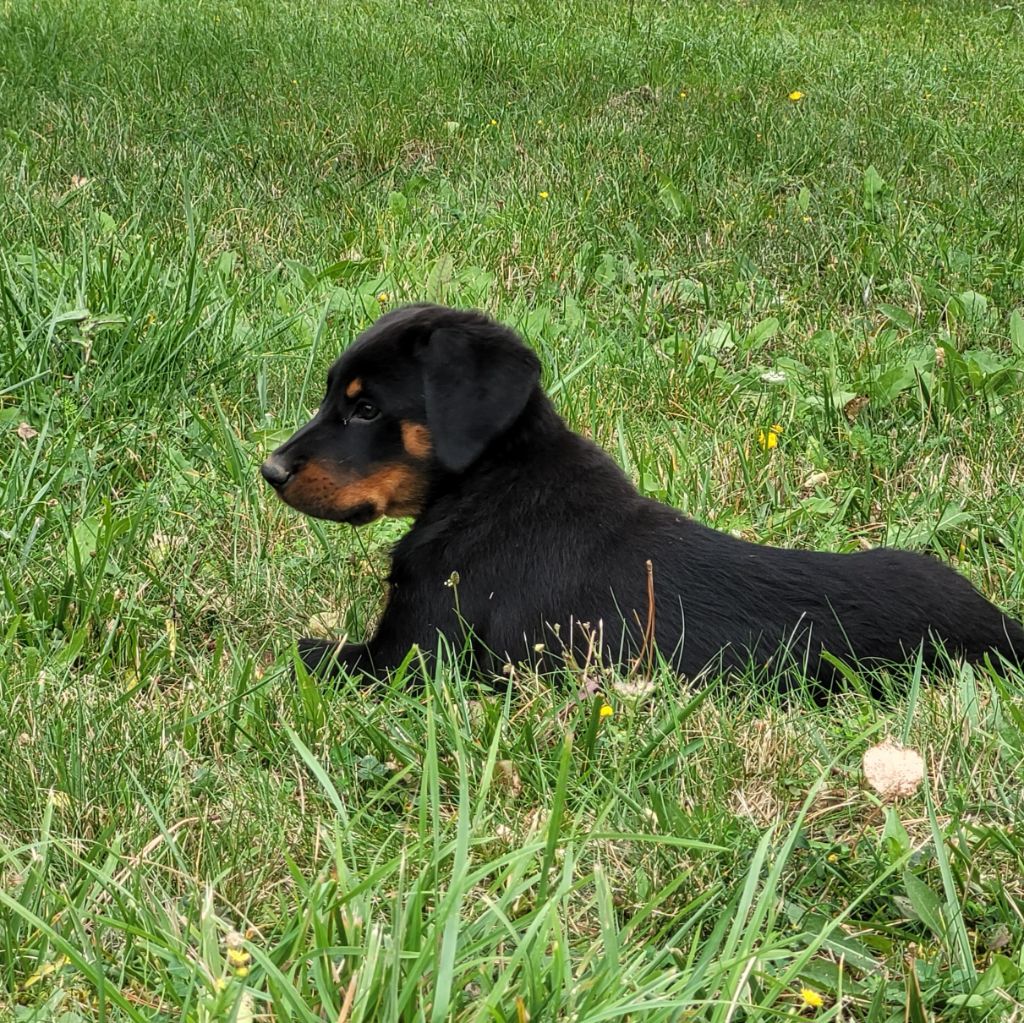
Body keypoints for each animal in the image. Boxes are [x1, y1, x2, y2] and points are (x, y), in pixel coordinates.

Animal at [261, 303, 1024, 692]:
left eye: (365, 409)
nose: (269, 469)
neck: (484, 485)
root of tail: (999, 627)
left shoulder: (408, 659)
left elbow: (295, 650)